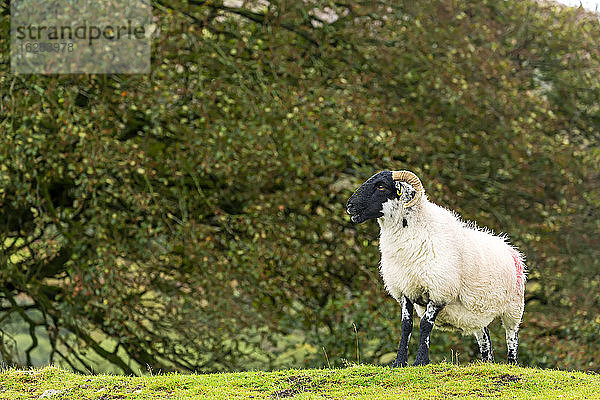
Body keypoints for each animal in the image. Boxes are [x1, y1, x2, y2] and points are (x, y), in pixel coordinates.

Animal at [346, 169, 524, 366]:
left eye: (381, 186)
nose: (350, 206)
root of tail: (509, 248)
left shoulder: (439, 291)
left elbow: (425, 324)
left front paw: (421, 361)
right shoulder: (405, 289)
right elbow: (406, 326)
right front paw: (399, 362)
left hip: (514, 308)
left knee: (511, 336)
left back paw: (512, 363)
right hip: (476, 312)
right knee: (485, 336)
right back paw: (487, 363)